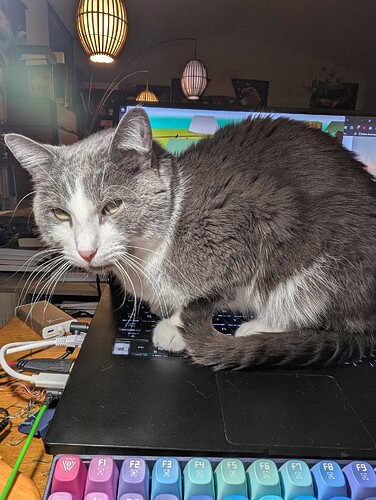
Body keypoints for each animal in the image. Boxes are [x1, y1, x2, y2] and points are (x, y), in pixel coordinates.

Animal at [4, 107, 376, 370]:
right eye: (60, 214)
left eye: (112, 206)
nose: (86, 251)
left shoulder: (251, 217)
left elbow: (212, 292)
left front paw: (174, 326)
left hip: (324, 251)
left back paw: (257, 327)